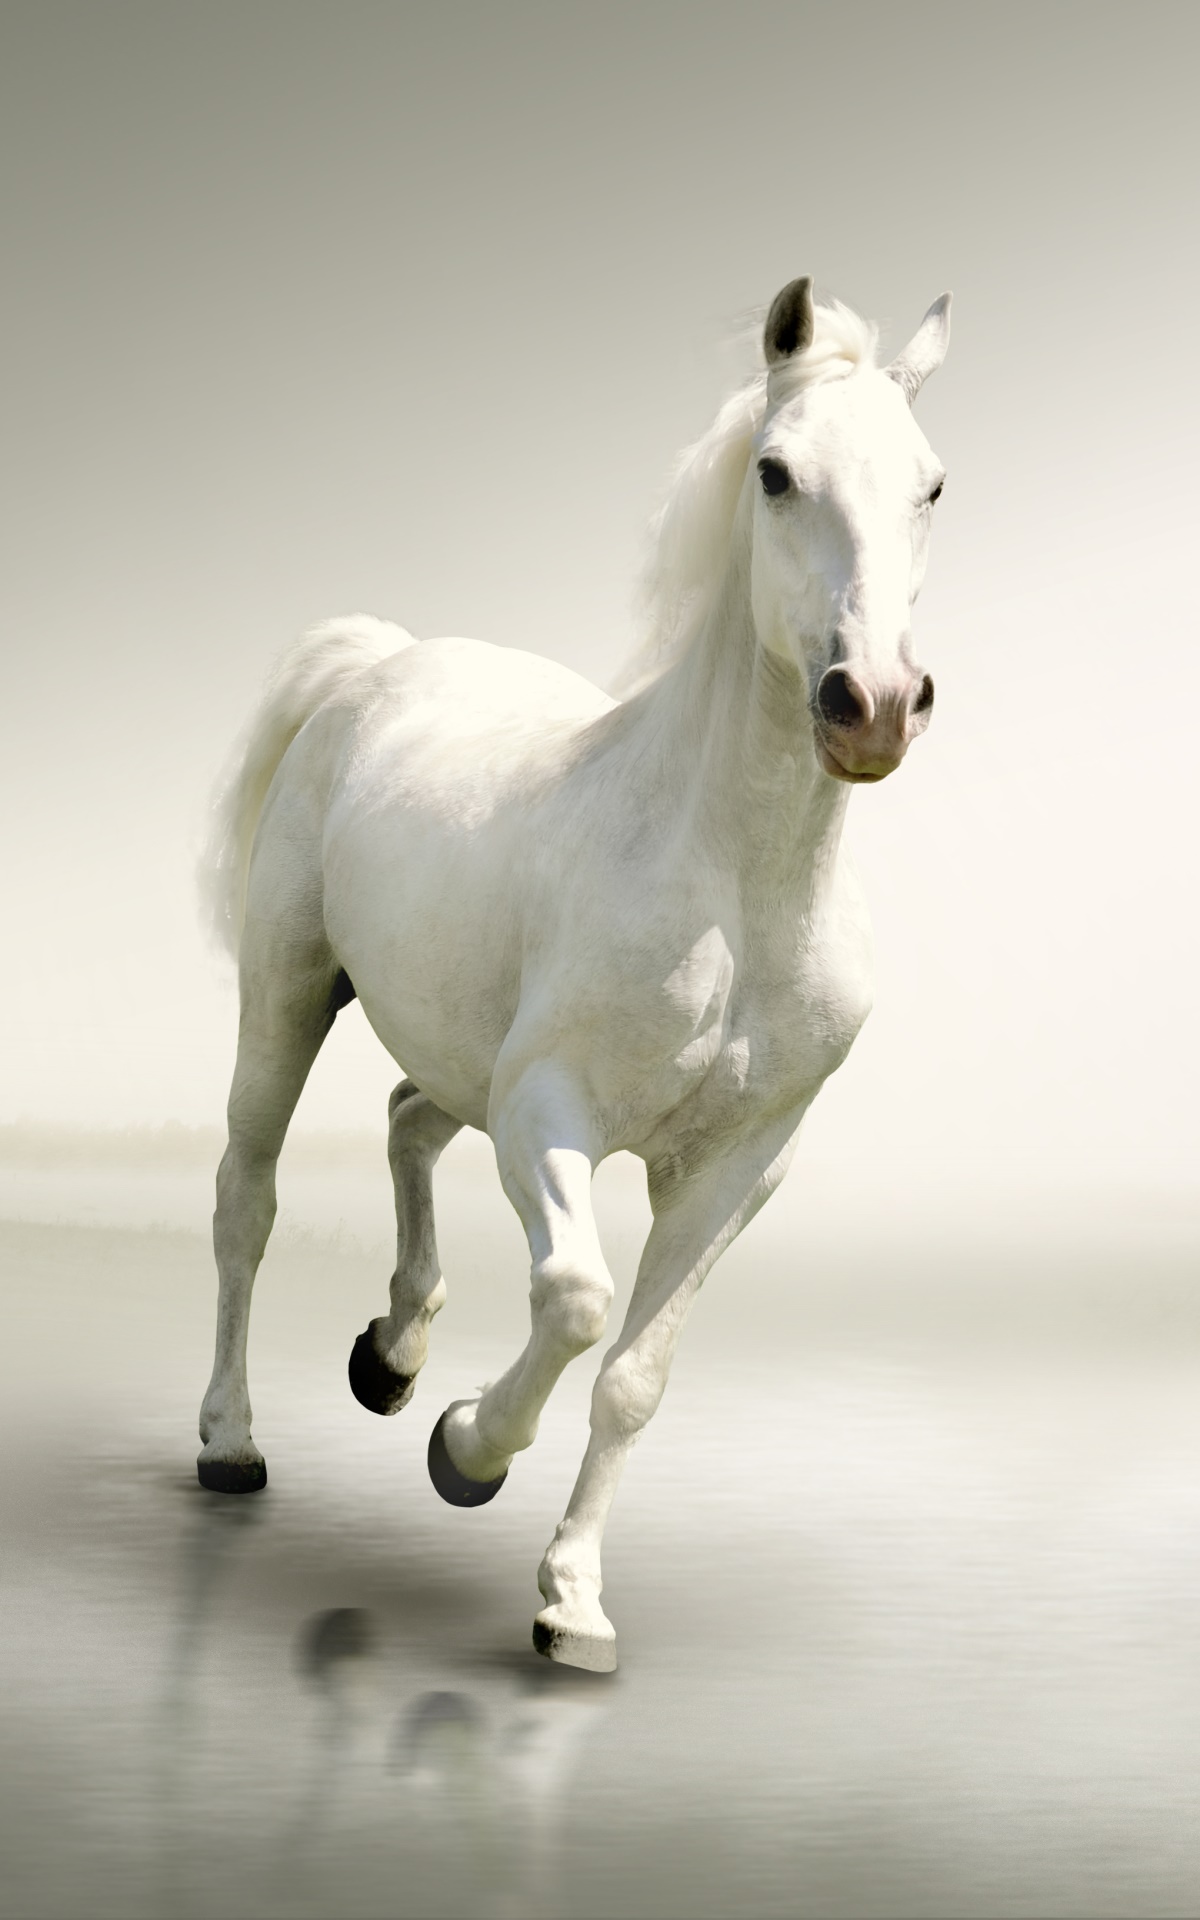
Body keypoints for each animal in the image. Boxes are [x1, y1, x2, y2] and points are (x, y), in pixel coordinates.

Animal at [196, 276, 952, 1673]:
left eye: (931, 483)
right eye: (775, 472)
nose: (872, 703)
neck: (735, 890)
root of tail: (380, 662)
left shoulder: (736, 1169)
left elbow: (638, 1377)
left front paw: (573, 1605)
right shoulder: (550, 1114)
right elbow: (578, 1299)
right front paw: (465, 1452)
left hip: (458, 1051)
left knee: (407, 1116)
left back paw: (391, 1354)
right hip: (287, 994)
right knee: (246, 1198)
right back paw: (232, 1440)